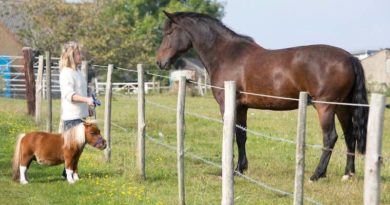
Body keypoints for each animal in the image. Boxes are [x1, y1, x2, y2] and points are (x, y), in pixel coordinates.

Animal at [156, 11, 368, 181]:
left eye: (169, 33)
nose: (160, 62)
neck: (227, 54)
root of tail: (350, 57)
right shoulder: (242, 107)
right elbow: (241, 136)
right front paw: (240, 169)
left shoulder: (228, 105)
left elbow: (233, 135)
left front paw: (230, 171)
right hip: (342, 107)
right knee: (350, 136)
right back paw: (348, 174)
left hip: (325, 107)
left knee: (330, 138)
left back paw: (316, 175)